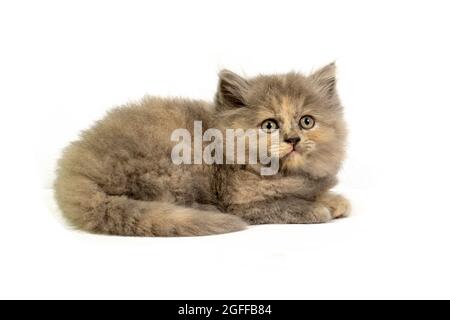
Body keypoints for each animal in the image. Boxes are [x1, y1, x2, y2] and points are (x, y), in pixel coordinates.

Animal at [54, 63, 350, 238]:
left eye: (307, 121)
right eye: (269, 125)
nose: (293, 139)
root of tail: (74, 172)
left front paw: (333, 200)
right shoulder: (239, 202)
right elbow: (284, 204)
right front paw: (318, 208)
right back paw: (207, 210)